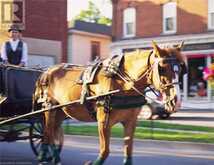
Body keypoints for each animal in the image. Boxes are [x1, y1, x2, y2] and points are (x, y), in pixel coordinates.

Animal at [33, 41, 187, 165]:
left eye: (180, 68)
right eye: (162, 68)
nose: (176, 101)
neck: (122, 84)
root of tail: (46, 72)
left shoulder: (131, 121)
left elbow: (128, 152)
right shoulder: (103, 121)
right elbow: (105, 151)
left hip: (61, 111)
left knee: (52, 132)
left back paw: (54, 157)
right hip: (49, 108)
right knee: (47, 132)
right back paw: (43, 156)